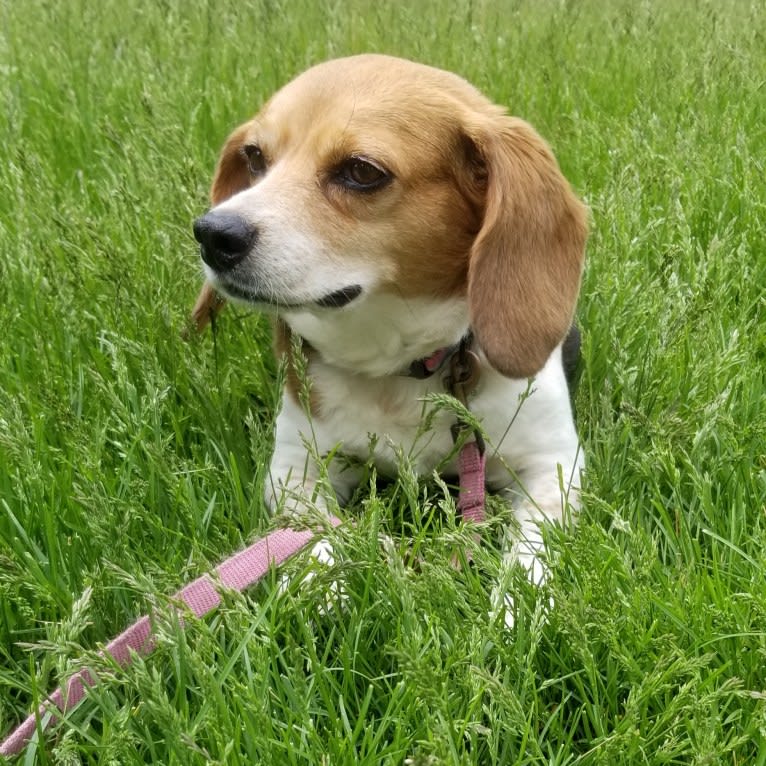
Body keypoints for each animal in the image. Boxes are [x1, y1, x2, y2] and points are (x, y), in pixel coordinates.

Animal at [190, 54, 588, 612]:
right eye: (254, 156)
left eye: (361, 172)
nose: (212, 233)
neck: (398, 364)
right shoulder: (295, 466)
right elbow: (319, 527)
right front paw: (324, 583)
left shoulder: (551, 465)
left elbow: (532, 548)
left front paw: (518, 610)